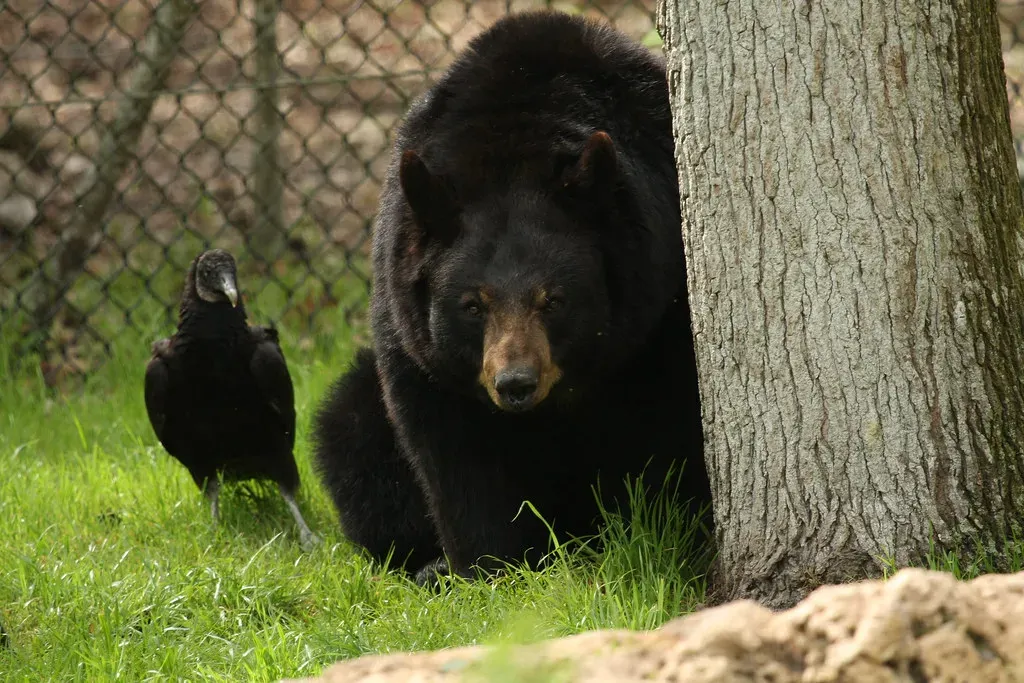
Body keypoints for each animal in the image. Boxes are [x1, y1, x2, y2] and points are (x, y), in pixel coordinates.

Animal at [313, 9, 713, 583]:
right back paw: (426, 563)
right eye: (472, 305)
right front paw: (490, 569)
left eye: (555, 300)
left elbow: (673, 426)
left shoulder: (660, 304)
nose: (515, 383)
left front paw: (662, 535)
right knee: (349, 433)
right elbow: (451, 448)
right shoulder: (406, 320)